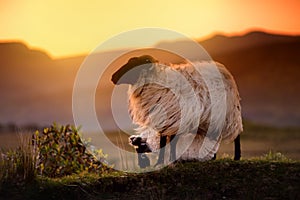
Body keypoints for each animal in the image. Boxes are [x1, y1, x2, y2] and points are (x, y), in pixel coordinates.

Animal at [111, 55, 243, 167]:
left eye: (132, 64)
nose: (112, 78)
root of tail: (224, 71)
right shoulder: (166, 120)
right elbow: (167, 141)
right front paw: (167, 161)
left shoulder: (173, 117)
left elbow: (168, 142)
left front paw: (164, 162)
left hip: (230, 113)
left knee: (236, 134)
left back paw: (236, 157)